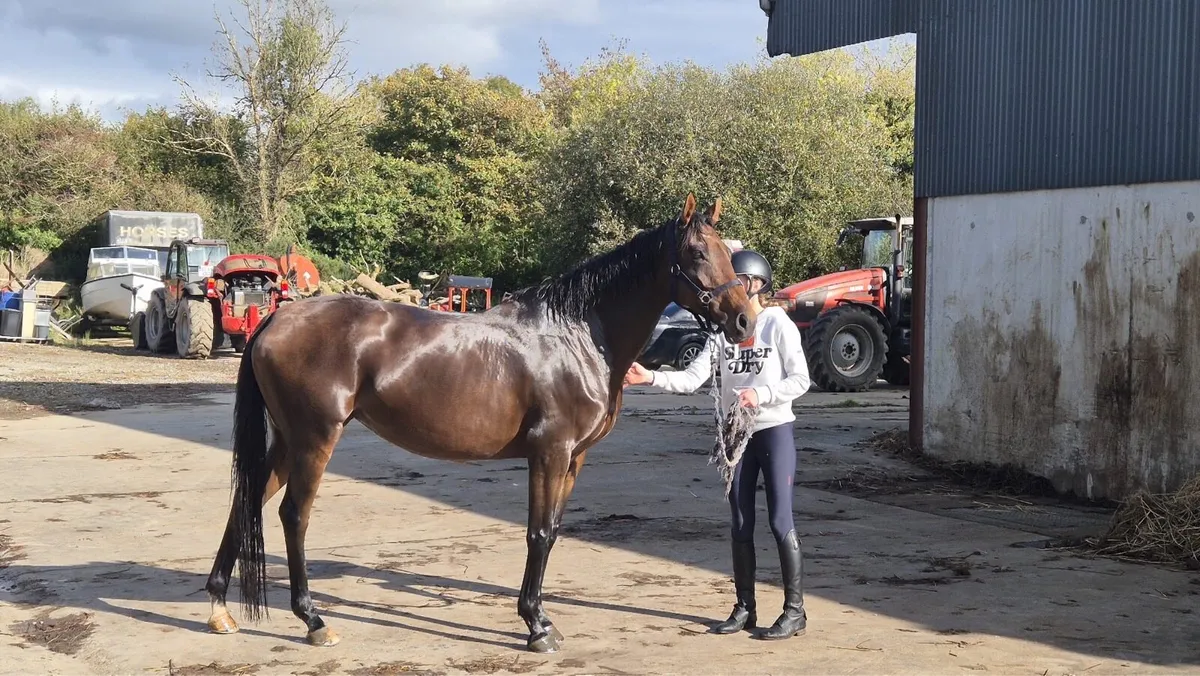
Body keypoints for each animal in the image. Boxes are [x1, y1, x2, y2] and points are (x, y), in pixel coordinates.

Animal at [201, 193, 757, 654]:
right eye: (698, 254)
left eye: (727, 253)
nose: (744, 321)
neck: (577, 334)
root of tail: (276, 319)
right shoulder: (550, 452)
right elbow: (538, 534)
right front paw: (535, 627)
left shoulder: (573, 458)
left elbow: (553, 531)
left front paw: (541, 618)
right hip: (315, 439)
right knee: (293, 515)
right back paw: (313, 620)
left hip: (287, 441)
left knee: (246, 502)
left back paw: (220, 607)